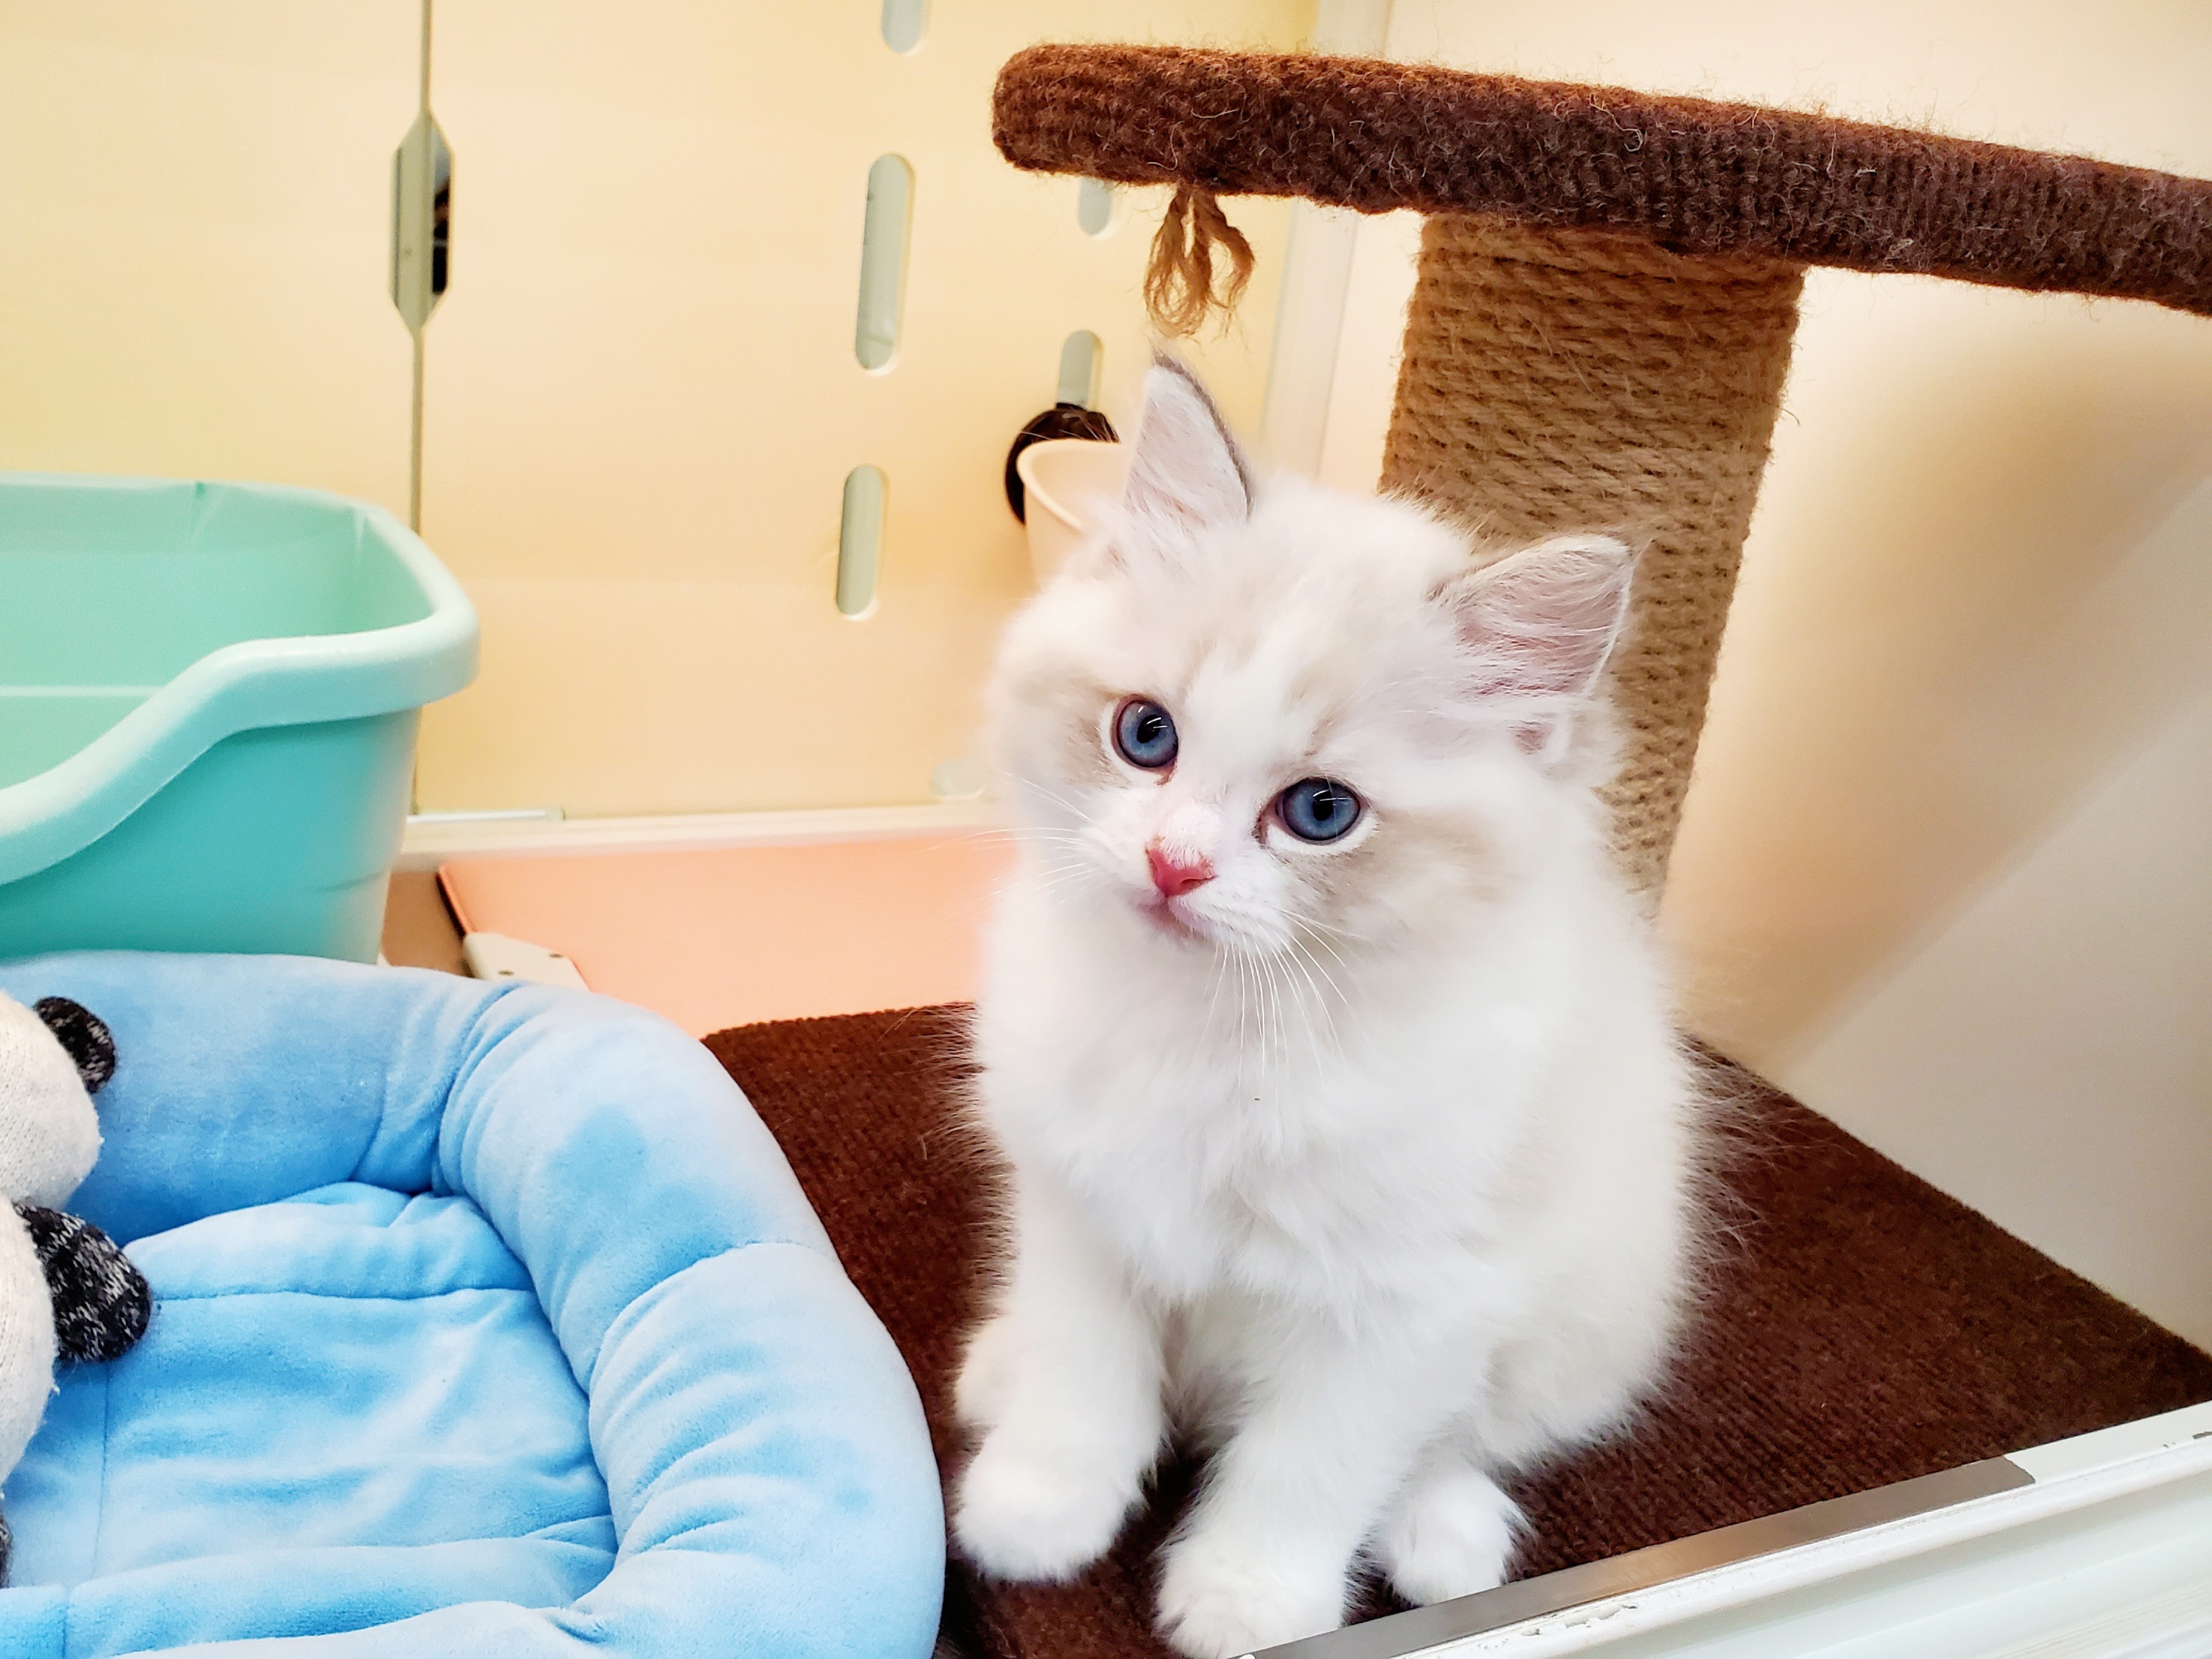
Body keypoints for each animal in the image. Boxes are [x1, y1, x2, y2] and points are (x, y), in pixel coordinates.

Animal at [952, 356, 1700, 1659]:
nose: (1173, 864)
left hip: (1578, 1320)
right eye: (1144, 734)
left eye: (1317, 812)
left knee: (1463, 1439)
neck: (1209, 1026)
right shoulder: (1078, 1209)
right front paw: (1038, 1510)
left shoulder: (1412, 1298)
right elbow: (1085, 1379)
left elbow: (1311, 1462)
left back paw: (1444, 1535)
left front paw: (1246, 1602)